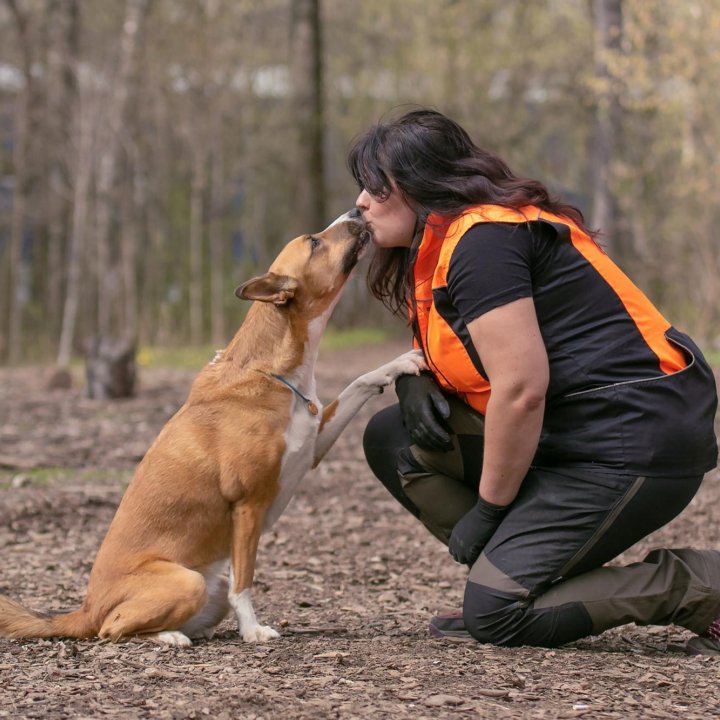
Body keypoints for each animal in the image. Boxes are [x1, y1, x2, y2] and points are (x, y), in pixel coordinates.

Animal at [0, 212, 424, 648]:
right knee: (112, 629)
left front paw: (398, 363)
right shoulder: (248, 506)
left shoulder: (312, 444)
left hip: (209, 588)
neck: (273, 370)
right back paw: (170, 637)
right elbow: (246, 582)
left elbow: (359, 383)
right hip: (185, 583)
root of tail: (85, 610)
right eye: (314, 243)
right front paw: (253, 630)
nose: (356, 213)